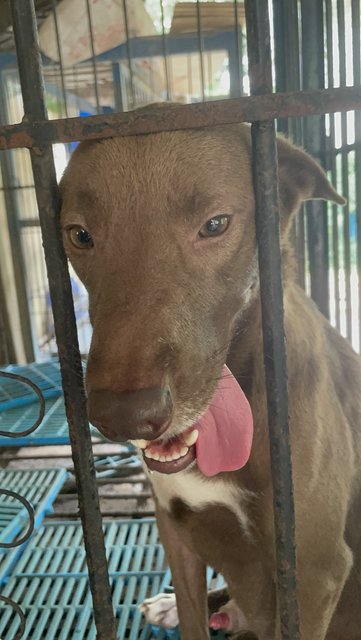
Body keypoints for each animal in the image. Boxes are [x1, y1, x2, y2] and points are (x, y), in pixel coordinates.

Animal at [59, 107, 360, 636]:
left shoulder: (315, 571)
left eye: (215, 224)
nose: (124, 416)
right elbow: (192, 615)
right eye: (79, 234)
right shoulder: (174, 528)